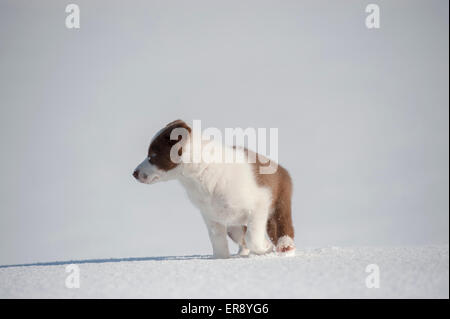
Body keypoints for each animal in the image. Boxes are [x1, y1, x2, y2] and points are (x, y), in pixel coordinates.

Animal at [133, 120, 296, 260]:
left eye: (153, 155)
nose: (134, 173)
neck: (201, 173)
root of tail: (282, 169)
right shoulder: (211, 216)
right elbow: (218, 242)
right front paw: (220, 260)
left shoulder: (259, 203)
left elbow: (253, 238)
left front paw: (266, 248)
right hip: (233, 226)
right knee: (242, 239)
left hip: (279, 202)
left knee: (282, 226)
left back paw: (285, 247)